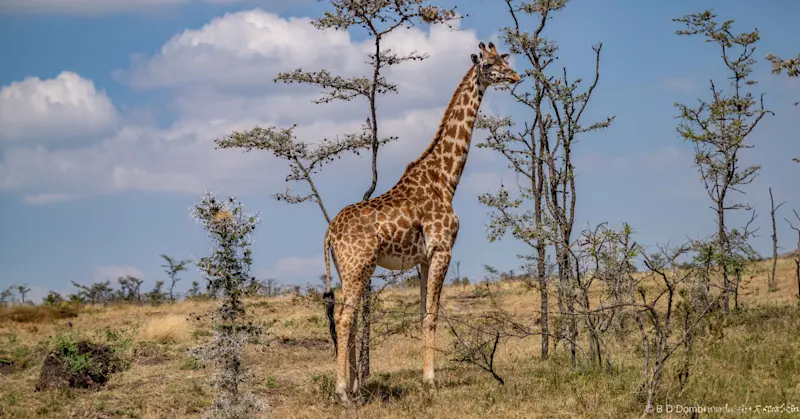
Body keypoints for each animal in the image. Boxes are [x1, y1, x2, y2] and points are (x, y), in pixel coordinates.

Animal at [322, 41, 520, 404]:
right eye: (488, 65)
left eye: (504, 59)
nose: (515, 76)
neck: (446, 178)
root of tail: (329, 232)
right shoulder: (443, 249)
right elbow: (432, 316)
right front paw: (430, 381)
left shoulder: (423, 259)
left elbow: (421, 313)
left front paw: (423, 377)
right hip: (358, 266)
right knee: (344, 318)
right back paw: (343, 391)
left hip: (348, 269)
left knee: (351, 317)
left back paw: (357, 389)